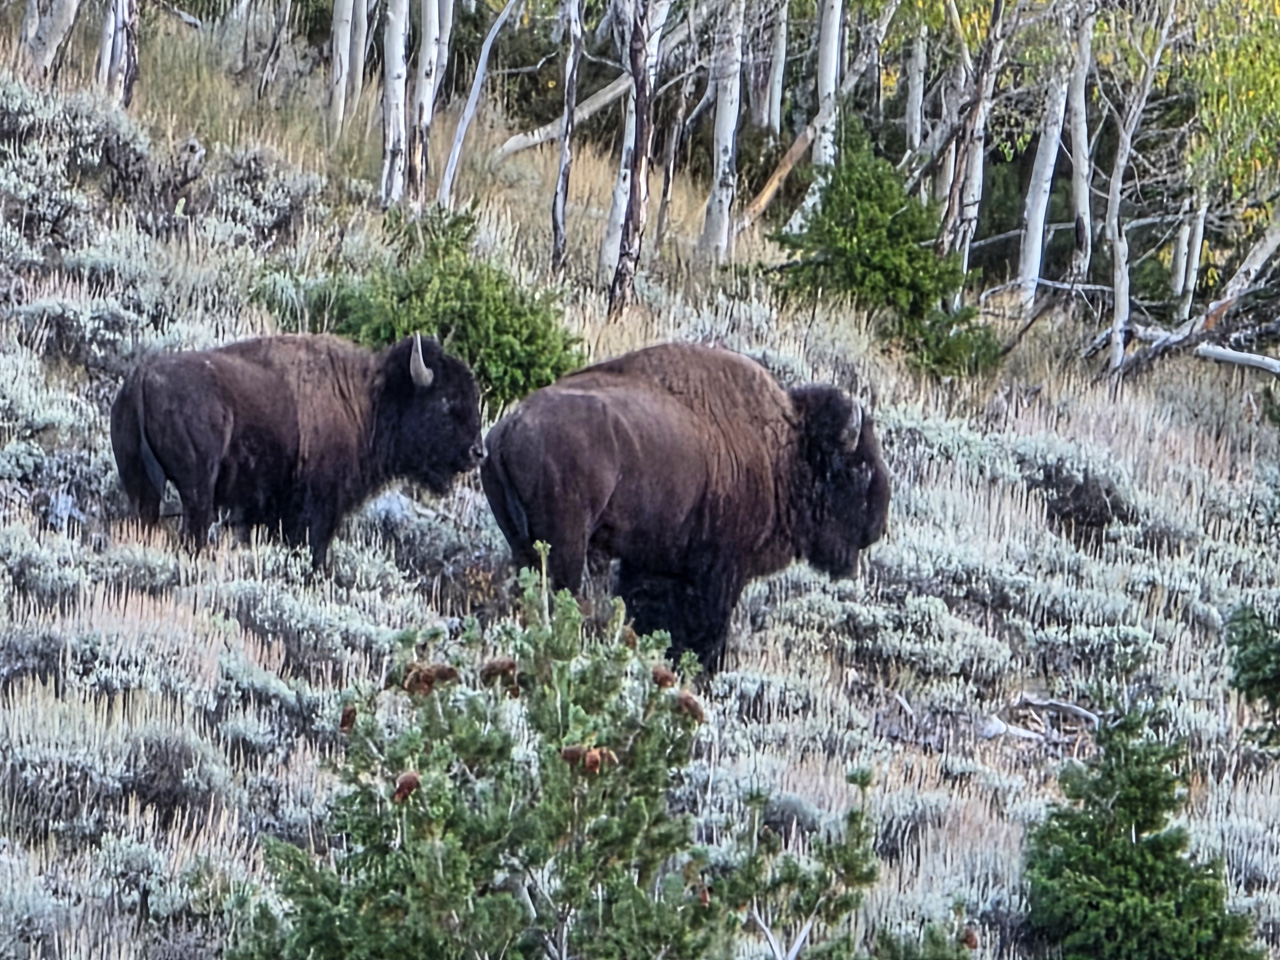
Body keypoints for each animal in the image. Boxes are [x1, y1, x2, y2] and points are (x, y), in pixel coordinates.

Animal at [110, 332, 485, 567]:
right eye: (446, 402)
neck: (369, 403)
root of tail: (143, 377)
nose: (477, 452)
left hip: (142, 486)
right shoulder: (317, 514)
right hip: (198, 490)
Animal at [479, 341, 891, 673]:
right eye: (860, 468)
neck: (784, 450)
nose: (876, 526)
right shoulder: (721, 571)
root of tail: (508, 430)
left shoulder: (651, 563)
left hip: (522, 542)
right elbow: (709, 629)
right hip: (566, 544)